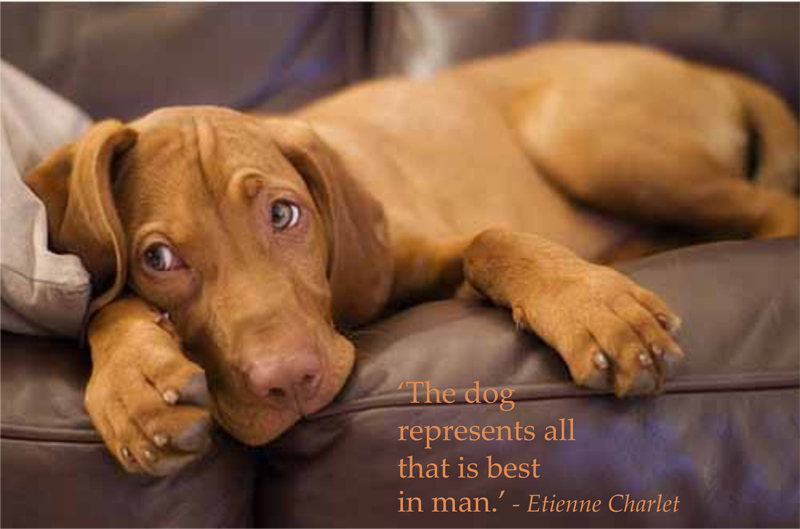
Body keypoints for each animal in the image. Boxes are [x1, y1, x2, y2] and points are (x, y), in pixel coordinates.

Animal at [24, 42, 799, 475]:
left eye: (283, 214)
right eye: (158, 257)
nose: (290, 381)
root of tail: (695, 64)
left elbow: (492, 238)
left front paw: (591, 305)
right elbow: (105, 306)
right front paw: (135, 385)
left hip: (584, 136)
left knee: (773, 209)